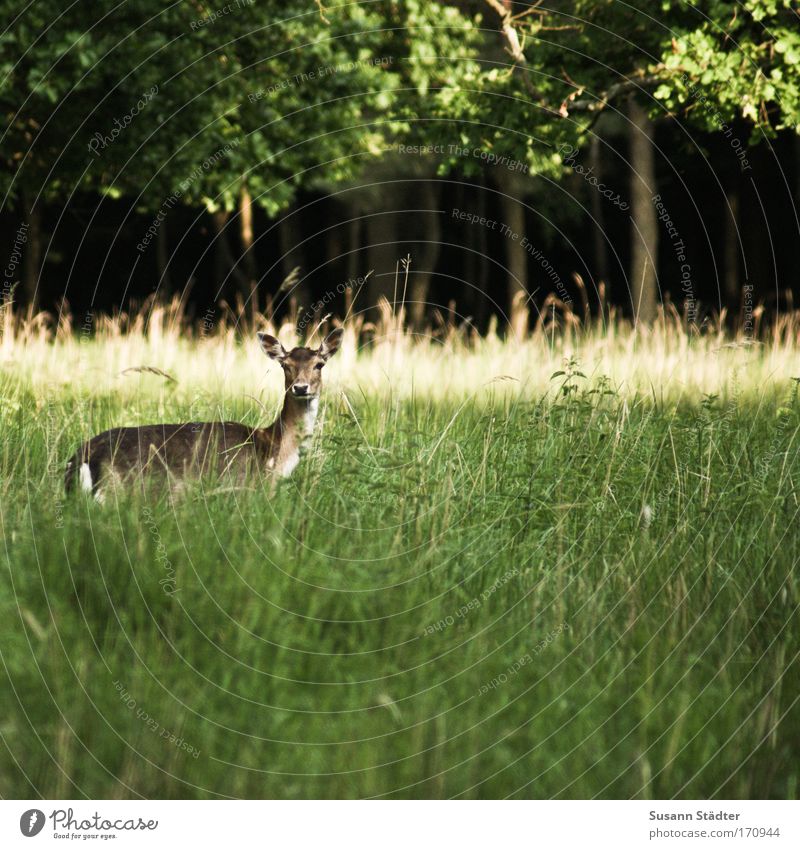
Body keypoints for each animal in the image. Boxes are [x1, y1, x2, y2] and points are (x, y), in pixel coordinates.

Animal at [64, 322, 342, 496]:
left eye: (319, 364)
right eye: (285, 365)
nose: (301, 387)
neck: (275, 452)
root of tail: (81, 457)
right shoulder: (247, 489)